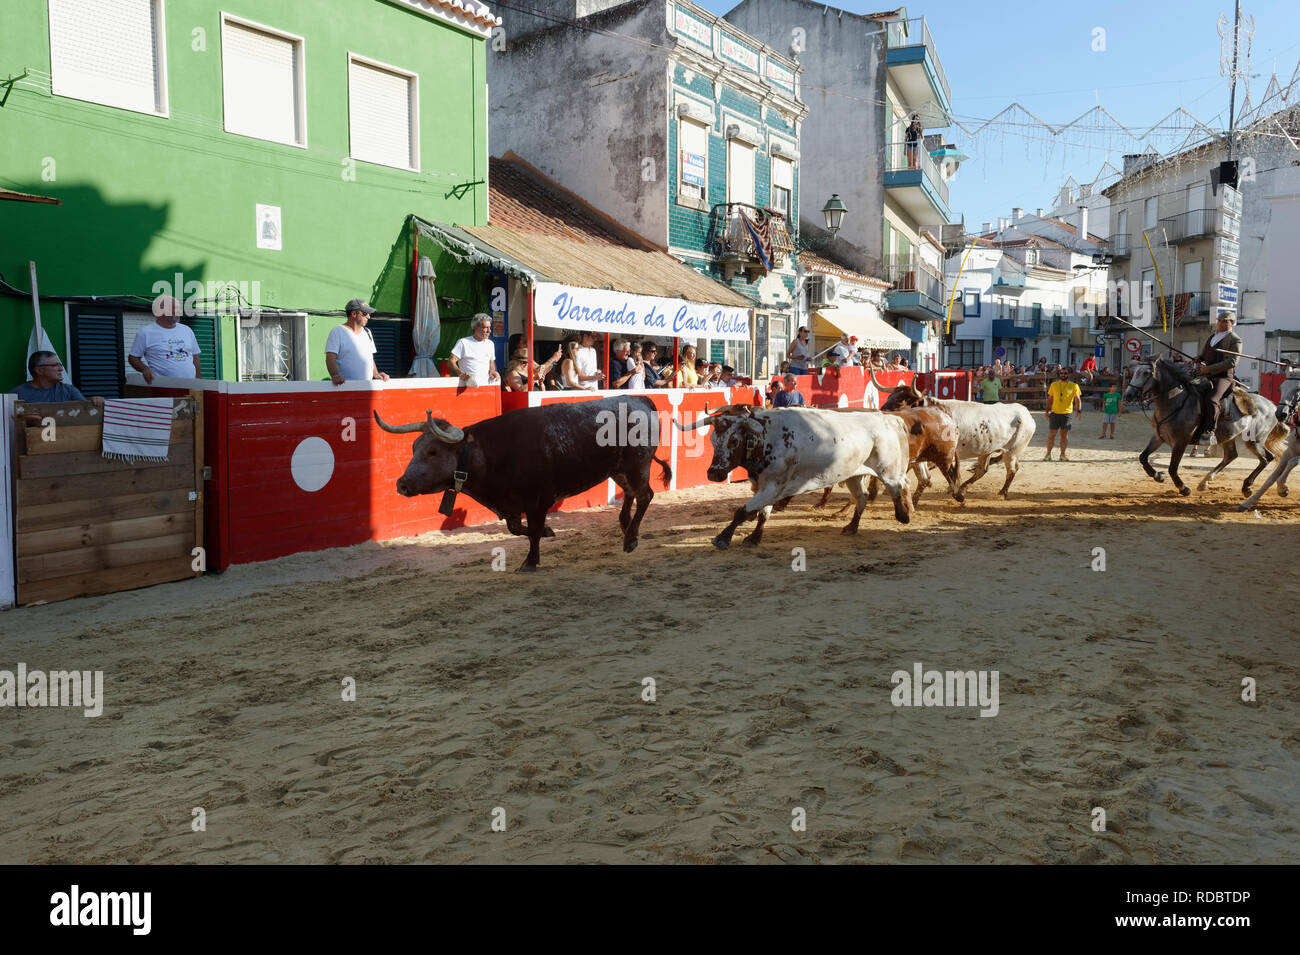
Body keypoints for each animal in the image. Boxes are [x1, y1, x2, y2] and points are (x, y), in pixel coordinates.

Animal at [371, 394, 665, 566]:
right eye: (413, 448)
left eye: (432, 451)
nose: (401, 484)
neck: (489, 452)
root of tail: (640, 400)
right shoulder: (511, 504)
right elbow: (517, 528)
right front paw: (549, 532)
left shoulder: (538, 501)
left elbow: (532, 530)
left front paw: (531, 561)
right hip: (619, 469)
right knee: (631, 494)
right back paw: (626, 527)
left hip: (638, 465)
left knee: (645, 495)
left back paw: (631, 539)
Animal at [676, 405, 909, 553]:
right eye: (713, 439)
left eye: (733, 440)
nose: (714, 473)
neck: (766, 438)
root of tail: (889, 418)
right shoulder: (765, 487)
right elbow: (762, 513)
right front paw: (754, 538)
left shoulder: (772, 487)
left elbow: (742, 511)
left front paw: (723, 538)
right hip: (854, 475)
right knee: (862, 497)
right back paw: (852, 527)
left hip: (888, 469)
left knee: (896, 487)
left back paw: (903, 515)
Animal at [1123, 356, 1294, 496]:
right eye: (1135, 372)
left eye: (1146, 373)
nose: (1128, 395)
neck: (1175, 401)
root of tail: (1272, 406)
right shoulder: (1159, 437)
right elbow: (1143, 457)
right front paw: (1158, 476)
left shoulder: (1180, 442)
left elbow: (1172, 468)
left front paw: (1183, 488)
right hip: (1229, 436)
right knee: (1232, 456)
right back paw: (1206, 481)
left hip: (1254, 440)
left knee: (1266, 459)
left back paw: (1246, 486)